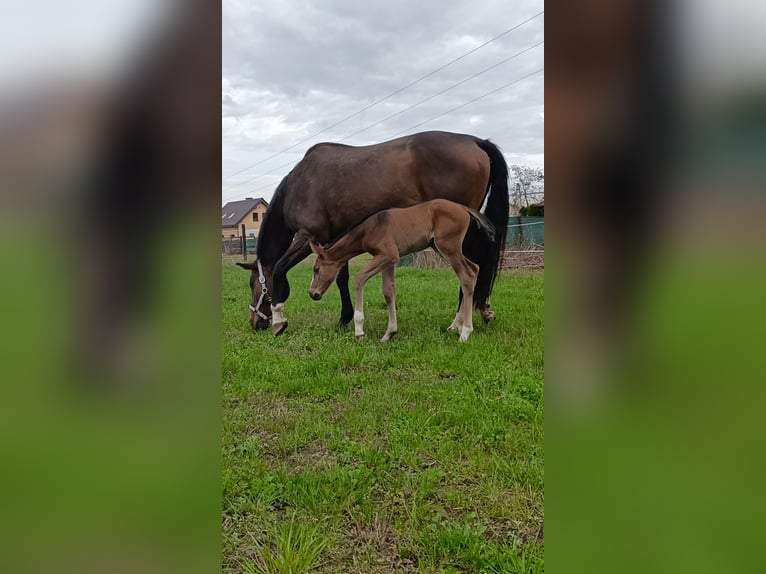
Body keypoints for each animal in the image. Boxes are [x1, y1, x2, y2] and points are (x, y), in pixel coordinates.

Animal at [308, 199, 496, 342]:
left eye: (316, 269)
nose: (312, 293)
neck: (371, 228)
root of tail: (463, 208)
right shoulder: (389, 261)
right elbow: (388, 292)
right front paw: (389, 333)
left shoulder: (388, 255)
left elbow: (359, 278)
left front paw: (359, 330)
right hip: (441, 248)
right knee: (474, 269)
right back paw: (456, 326)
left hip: (449, 247)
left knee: (467, 276)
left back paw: (465, 332)